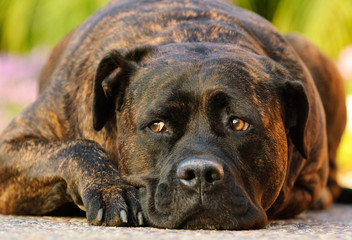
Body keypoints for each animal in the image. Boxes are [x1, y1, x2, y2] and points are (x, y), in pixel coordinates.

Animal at [0, 0, 346, 230]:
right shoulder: (13, 145)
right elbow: (77, 147)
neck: (195, 33)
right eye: (157, 126)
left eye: (238, 123)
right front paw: (112, 189)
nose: (201, 174)